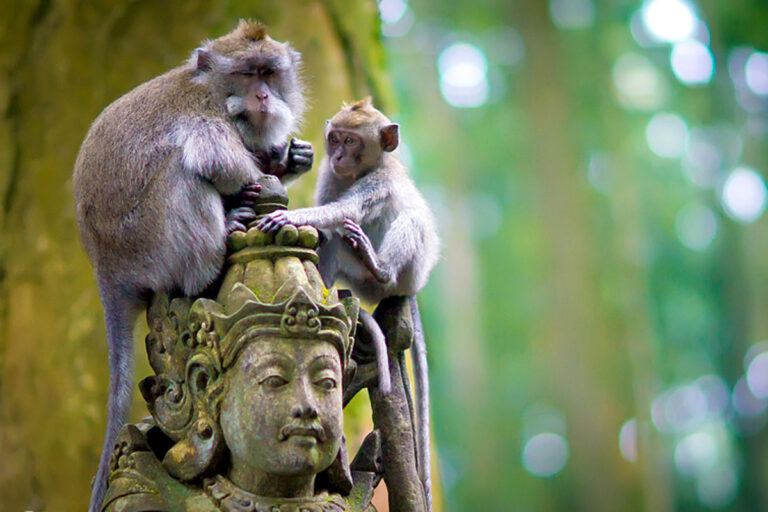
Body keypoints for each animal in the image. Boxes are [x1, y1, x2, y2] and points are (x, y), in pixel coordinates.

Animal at [72, 21, 312, 512]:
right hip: (150, 240)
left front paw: (288, 158)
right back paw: (215, 252)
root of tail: (104, 265)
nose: (263, 96)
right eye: (247, 74)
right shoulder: (205, 115)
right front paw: (266, 172)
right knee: (182, 172)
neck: (213, 91)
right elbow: (219, 161)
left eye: (269, 73)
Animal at [256, 97, 439, 510]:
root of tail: (407, 290)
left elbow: (345, 209)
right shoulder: (330, 176)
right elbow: (329, 218)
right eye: (335, 138)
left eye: (351, 141)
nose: (338, 154)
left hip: (412, 269)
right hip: (359, 281)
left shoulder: (380, 181)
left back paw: (380, 267)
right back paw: (325, 292)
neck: (362, 170)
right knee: (337, 241)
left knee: (411, 220)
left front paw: (289, 216)